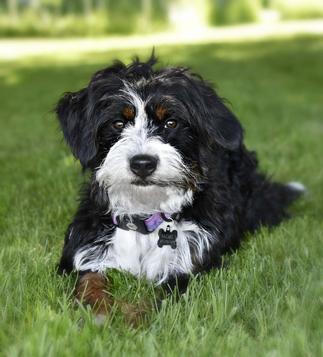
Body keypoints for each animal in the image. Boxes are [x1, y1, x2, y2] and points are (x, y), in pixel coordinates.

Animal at [54, 55, 306, 318]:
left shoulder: (189, 268)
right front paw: (98, 312)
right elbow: (89, 283)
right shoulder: (86, 250)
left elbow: (154, 303)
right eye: (118, 123)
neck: (145, 217)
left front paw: (131, 319)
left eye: (171, 122)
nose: (142, 163)